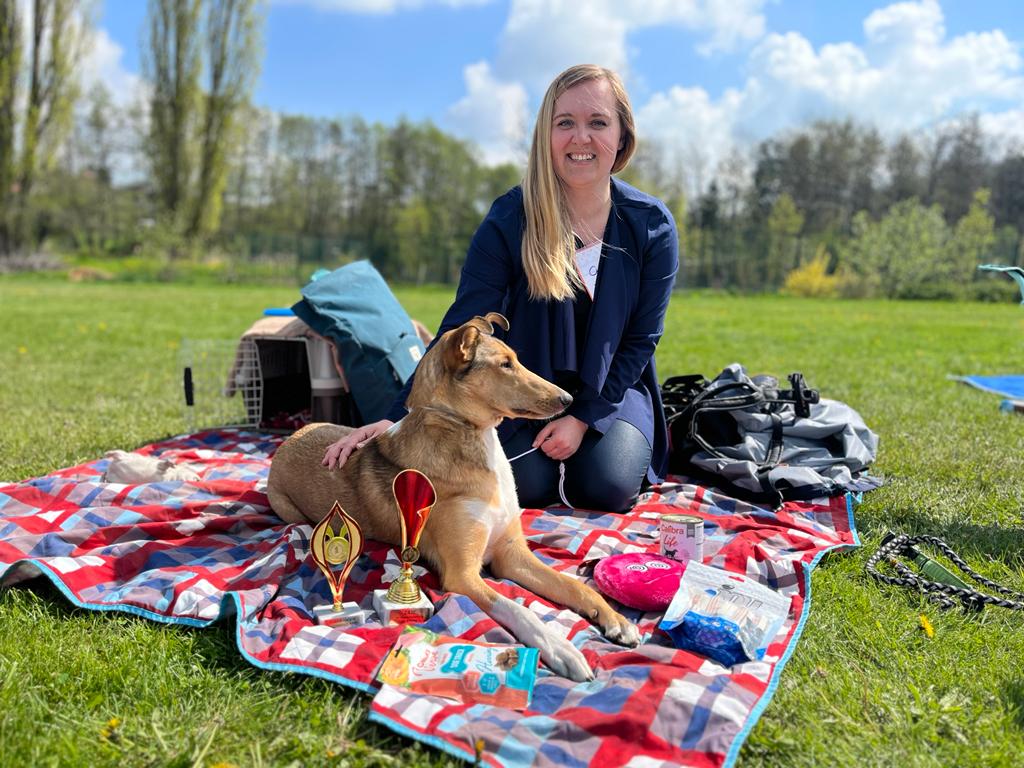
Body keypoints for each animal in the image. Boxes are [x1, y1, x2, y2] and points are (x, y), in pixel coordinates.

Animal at [270, 311, 638, 679]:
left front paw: (617, 620)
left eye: (515, 359)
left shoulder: (511, 553)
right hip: (289, 510)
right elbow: (518, 608)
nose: (569, 400)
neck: (469, 433)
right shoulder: (463, 575)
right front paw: (563, 650)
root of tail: (292, 435)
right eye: (505, 364)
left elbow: (574, 585)